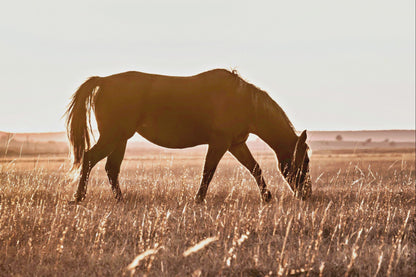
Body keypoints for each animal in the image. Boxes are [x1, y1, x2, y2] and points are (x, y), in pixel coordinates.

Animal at [66, 69, 312, 203]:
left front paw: (267, 197)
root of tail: (103, 80)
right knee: (89, 159)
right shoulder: (220, 143)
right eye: (306, 161)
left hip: (120, 139)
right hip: (112, 137)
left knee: (111, 169)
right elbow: (208, 171)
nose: (307, 194)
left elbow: (255, 168)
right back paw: (79, 198)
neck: (243, 101)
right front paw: (198, 199)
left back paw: (120, 199)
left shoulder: (236, 144)